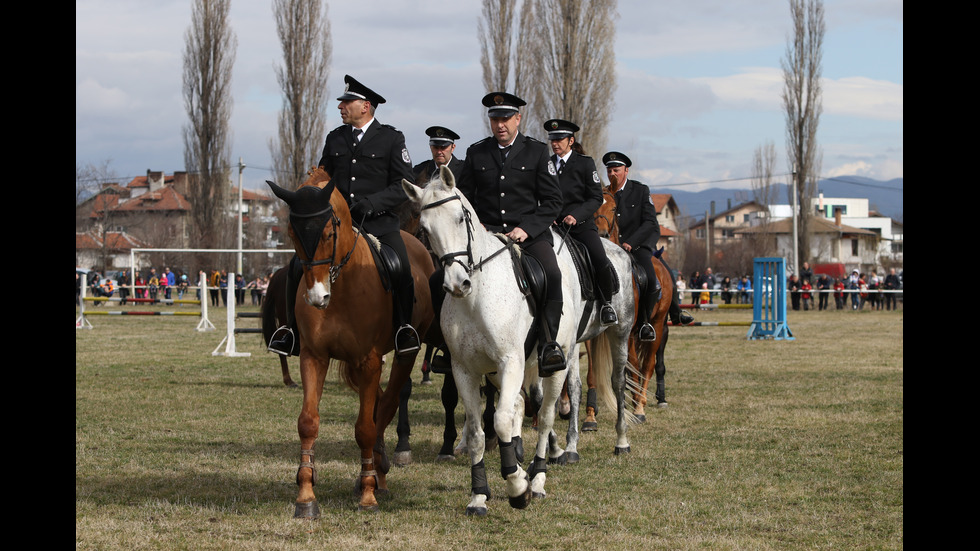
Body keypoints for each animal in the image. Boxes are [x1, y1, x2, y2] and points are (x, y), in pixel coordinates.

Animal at [268, 168, 436, 516]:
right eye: (292, 233)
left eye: (328, 234)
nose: (317, 297)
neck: (342, 283)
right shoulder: (314, 356)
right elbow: (308, 422)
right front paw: (306, 495)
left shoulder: (369, 360)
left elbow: (366, 427)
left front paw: (368, 494)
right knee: (380, 404)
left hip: (404, 355)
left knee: (386, 406)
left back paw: (378, 473)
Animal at [404, 165, 636, 516]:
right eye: (425, 228)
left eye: (460, 218)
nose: (457, 283)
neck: (477, 296)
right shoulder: (465, 370)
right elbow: (478, 431)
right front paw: (479, 495)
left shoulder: (510, 361)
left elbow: (502, 420)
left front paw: (517, 487)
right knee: (529, 404)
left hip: (599, 341)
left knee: (572, 402)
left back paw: (554, 470)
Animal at [588, 188, 672, 424]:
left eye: (614, 208)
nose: (601, 234)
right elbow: (593, 372)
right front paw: (591, 416)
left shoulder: (627, 330)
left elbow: (634, 366)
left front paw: (636, 408)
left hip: (656, 325)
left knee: (647, 365)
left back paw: (640, 404)